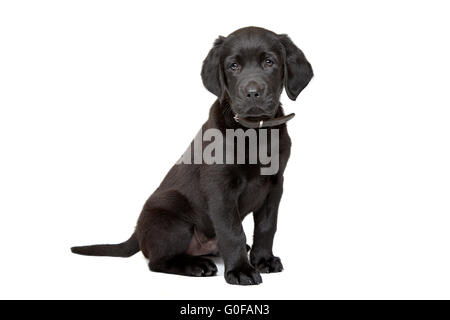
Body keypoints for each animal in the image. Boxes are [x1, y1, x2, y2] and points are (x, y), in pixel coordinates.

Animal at [73, 25, 312, 284]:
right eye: (233, 66)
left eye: (269, 62)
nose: (252, 93)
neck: (253, 132)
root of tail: (137, 232)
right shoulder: (220, 187)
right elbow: (232, 231)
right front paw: (240, 270)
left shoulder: (274, 184)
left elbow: (267, 226)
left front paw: (263, 260)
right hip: (173, 219)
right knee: (157, 261)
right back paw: (196, 266)